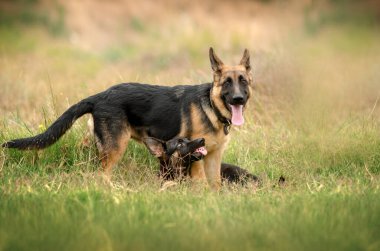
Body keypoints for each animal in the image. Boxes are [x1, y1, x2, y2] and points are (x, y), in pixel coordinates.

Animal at [2, 47, 254, 188]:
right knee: (101, 174)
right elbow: (201, 184)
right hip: (115, 148)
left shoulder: (213, 157)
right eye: (227, 83)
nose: (238, 99)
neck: (211, 107)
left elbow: (216, 186)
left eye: (243, 81)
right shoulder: (196, 159)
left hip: (99, 144)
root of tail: (99, 96)